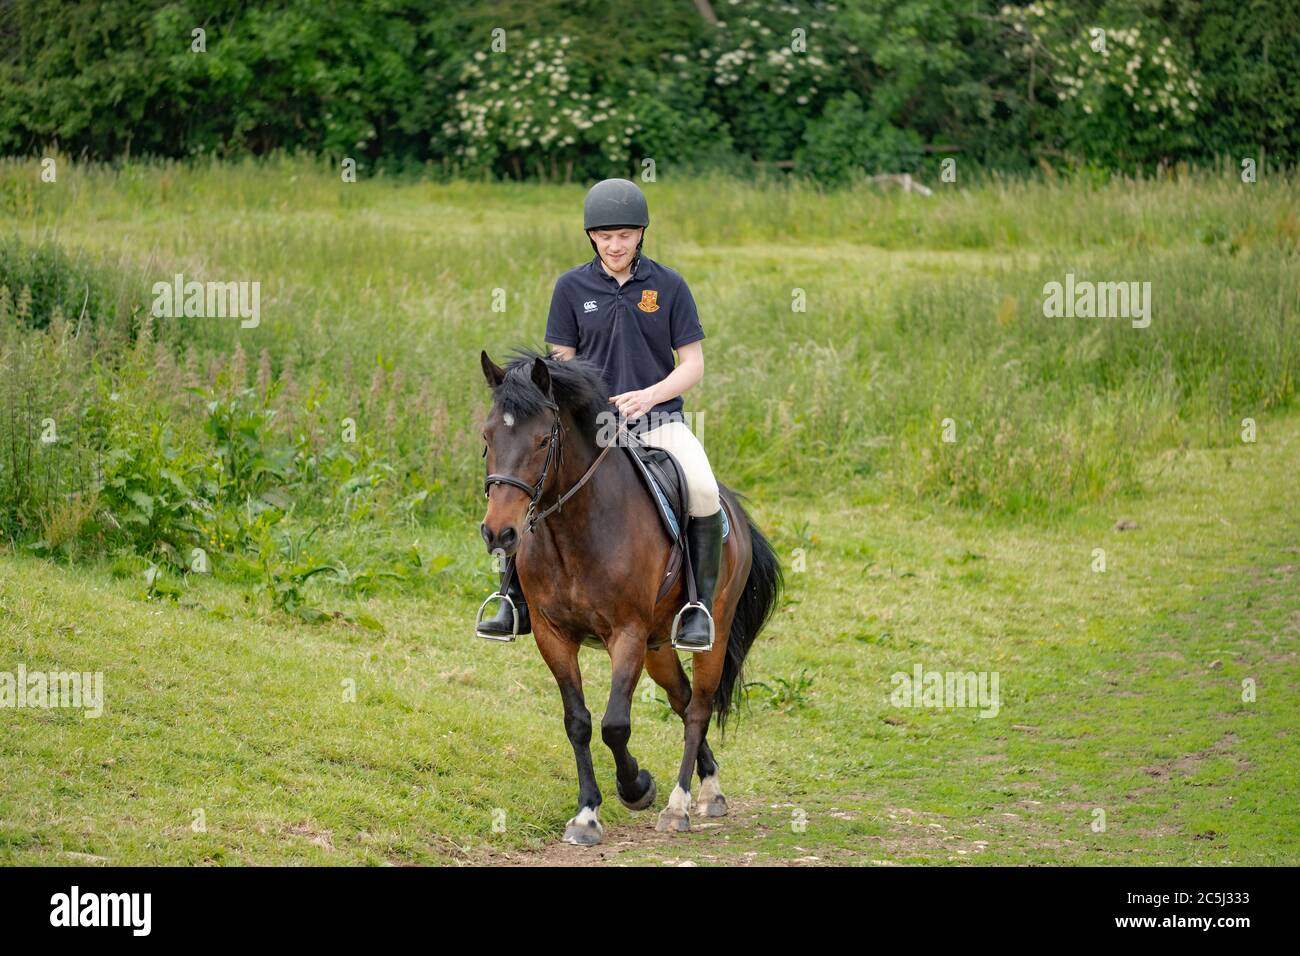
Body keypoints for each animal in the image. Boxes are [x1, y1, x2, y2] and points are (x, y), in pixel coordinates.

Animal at [478, 348, 783, 844]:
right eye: (487, 435)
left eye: (543, 440)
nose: (498, 533)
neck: (575, 529)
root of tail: (733, 510)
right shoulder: (552, 634)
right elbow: (578, 722)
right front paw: (586, 813)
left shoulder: (627, 633)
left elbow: (615, 724)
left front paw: (636, 787)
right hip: (658, 645)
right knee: (681, 699)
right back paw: (709, 787)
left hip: (709, 633)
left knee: (697, 709)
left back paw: (679, 806)